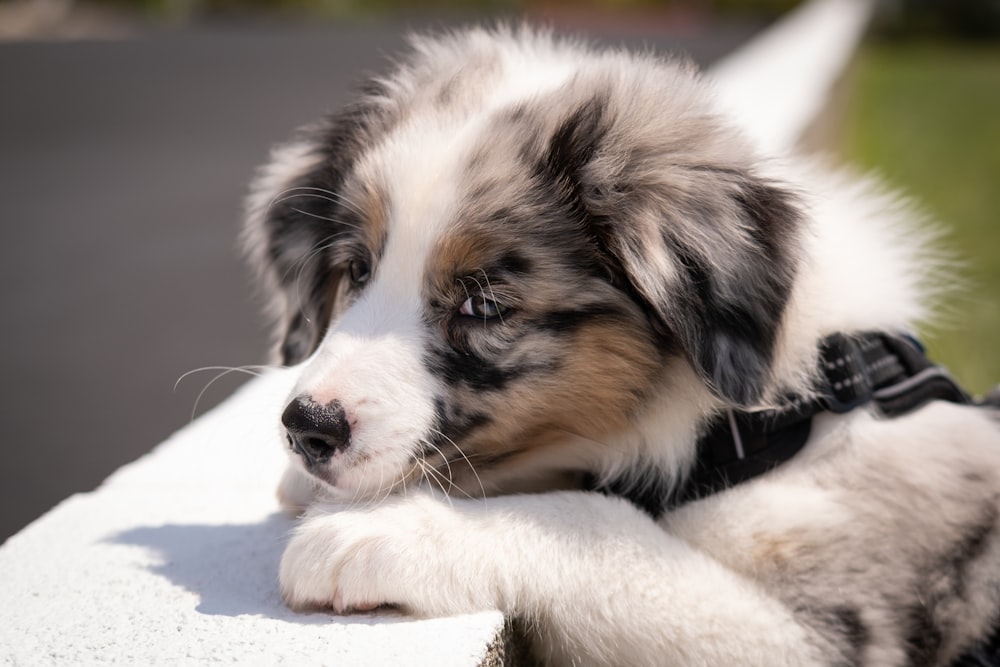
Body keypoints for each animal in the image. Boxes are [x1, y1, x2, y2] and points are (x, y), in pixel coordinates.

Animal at [242, 27, 1000, 667]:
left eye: (482, 304)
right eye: (358, 270)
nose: (307, 428)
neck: (762, 423)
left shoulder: (826, 631)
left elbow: (600, 524)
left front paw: (386, 532)